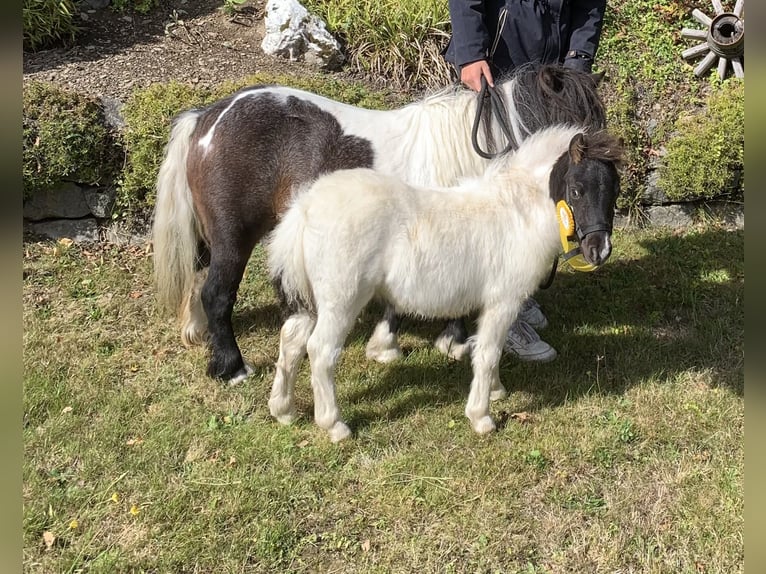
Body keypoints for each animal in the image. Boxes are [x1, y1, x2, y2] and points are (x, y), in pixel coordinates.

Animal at [152, 63, 607, 384]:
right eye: (576, 132)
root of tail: (208, 118)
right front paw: (451, 343)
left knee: (197, 280)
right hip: (234, 238)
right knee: (216, 294)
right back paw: (232, 367)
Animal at [265, 125, 623, 441]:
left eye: (615, 191)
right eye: (576, 190)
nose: (599, 250)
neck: (517, 213)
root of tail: (305, 207)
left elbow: (487, 348)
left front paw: (496, 391)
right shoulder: (503, 301)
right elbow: (488, 351)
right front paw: (481, 417)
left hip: (311, 300)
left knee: (291, 341)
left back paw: (284, 411)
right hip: (341, 301)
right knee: (320, 350)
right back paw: (335, 426)